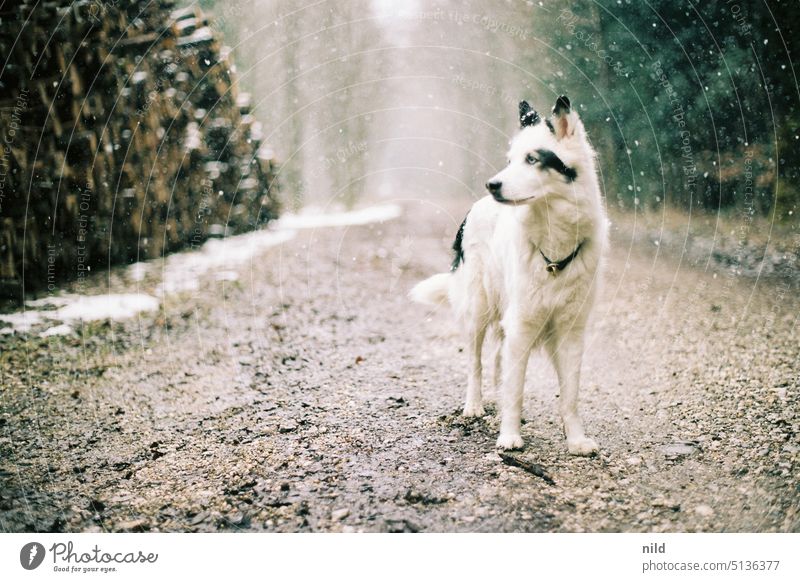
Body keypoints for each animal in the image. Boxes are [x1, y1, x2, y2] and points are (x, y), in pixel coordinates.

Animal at [412, 96, 608, 458]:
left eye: (532, 159)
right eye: (509, 160)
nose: (492, 184)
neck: (554, 247)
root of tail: (474, 208)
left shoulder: (570, 330)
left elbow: (570, 394)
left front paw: (575, 439)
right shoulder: (523, 324)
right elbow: (515, 390)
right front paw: (509, 436)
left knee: (499, 360)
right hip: (478, 309)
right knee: (475, 363)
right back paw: (474, 405)